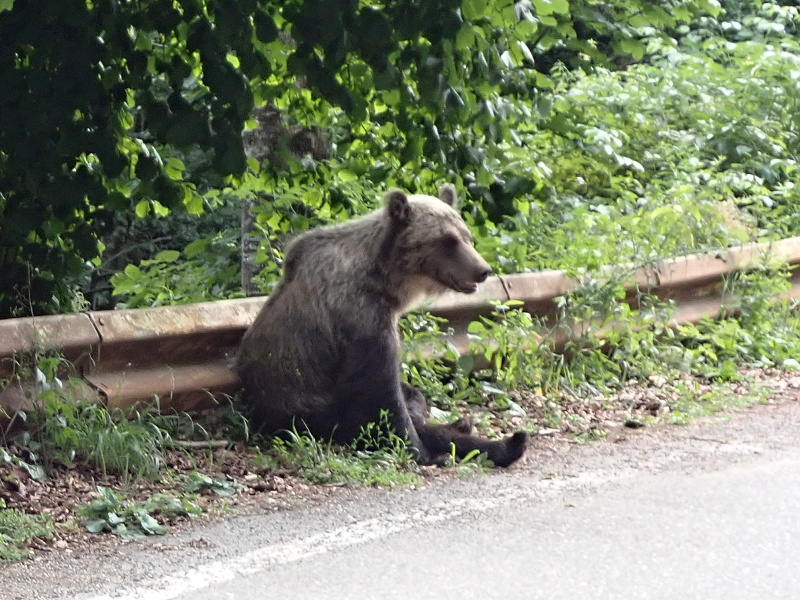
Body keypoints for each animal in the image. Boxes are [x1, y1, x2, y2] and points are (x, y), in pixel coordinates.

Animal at [234, 185, 528, 466]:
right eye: (448, 240)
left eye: (467, 236)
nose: (483, 270)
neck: (385, 280)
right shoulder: (361, 317)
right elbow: (381, 393)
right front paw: (423, 452)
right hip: (307, 407)